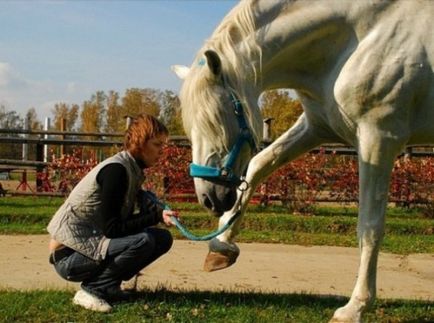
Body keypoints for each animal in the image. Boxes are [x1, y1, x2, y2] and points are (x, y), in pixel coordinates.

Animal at [173, 1, 434, 322]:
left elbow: (369, 226)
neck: (359, 39)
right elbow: (260, 164)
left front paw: (356, 306)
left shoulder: (378, 140)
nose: (208, 198)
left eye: (216, 120)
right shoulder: (316, 127)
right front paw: (221, 246)